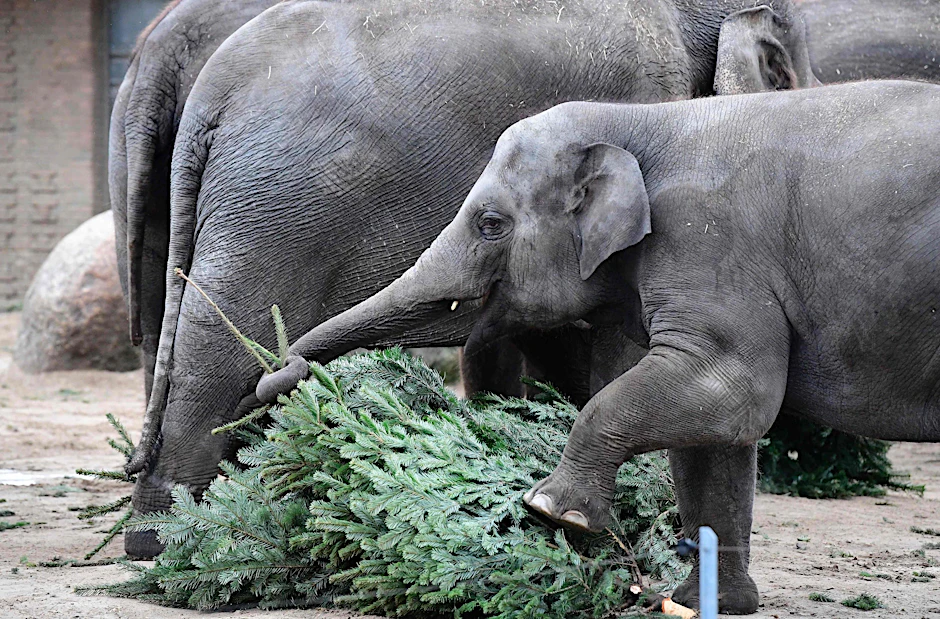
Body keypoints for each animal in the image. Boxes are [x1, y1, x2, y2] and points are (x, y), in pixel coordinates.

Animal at [258, 79, 940, 614]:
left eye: (490, 224)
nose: (280, 372)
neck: (645, 119)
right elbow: (715, 438)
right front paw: (701, 604)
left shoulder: (708, 245)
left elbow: (732, 390)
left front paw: (551, 512)